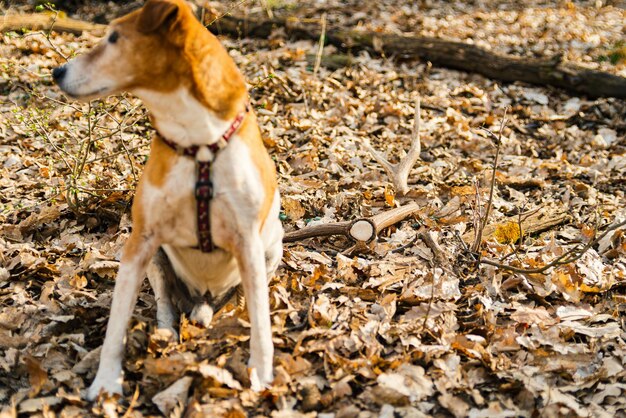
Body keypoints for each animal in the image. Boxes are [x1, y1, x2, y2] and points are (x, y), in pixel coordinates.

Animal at [53, 0, 282, 400]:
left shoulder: (248, 243)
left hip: (273, 247)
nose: (57, 71)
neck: (197, 141)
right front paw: (106, 381)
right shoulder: (140, 242)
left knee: (242, 299)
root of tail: (203, 300)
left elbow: (261, 321)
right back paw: (165, 331)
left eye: (114, 38)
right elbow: (116, 324)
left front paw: (262, 372)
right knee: (165, 304)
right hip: (159, 259)